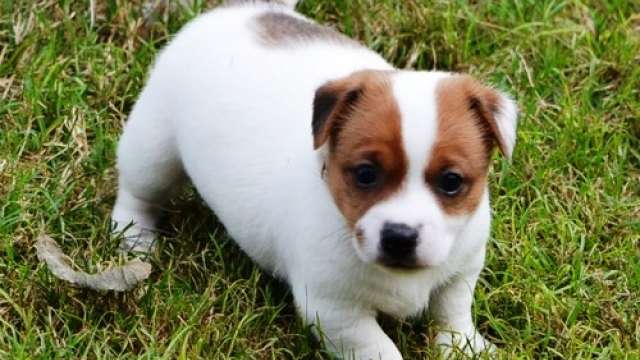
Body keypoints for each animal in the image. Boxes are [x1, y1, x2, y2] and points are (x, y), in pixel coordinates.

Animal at [112, 0, 516, 358]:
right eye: (366, 174)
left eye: (451, 181)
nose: (399, 237)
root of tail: (244, 10)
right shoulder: (336, 312)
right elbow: (381, 349)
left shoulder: (461, 271)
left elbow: (452, 314)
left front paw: (466, 347)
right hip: (153, 148)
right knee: (136, 193)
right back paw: (135, 238)